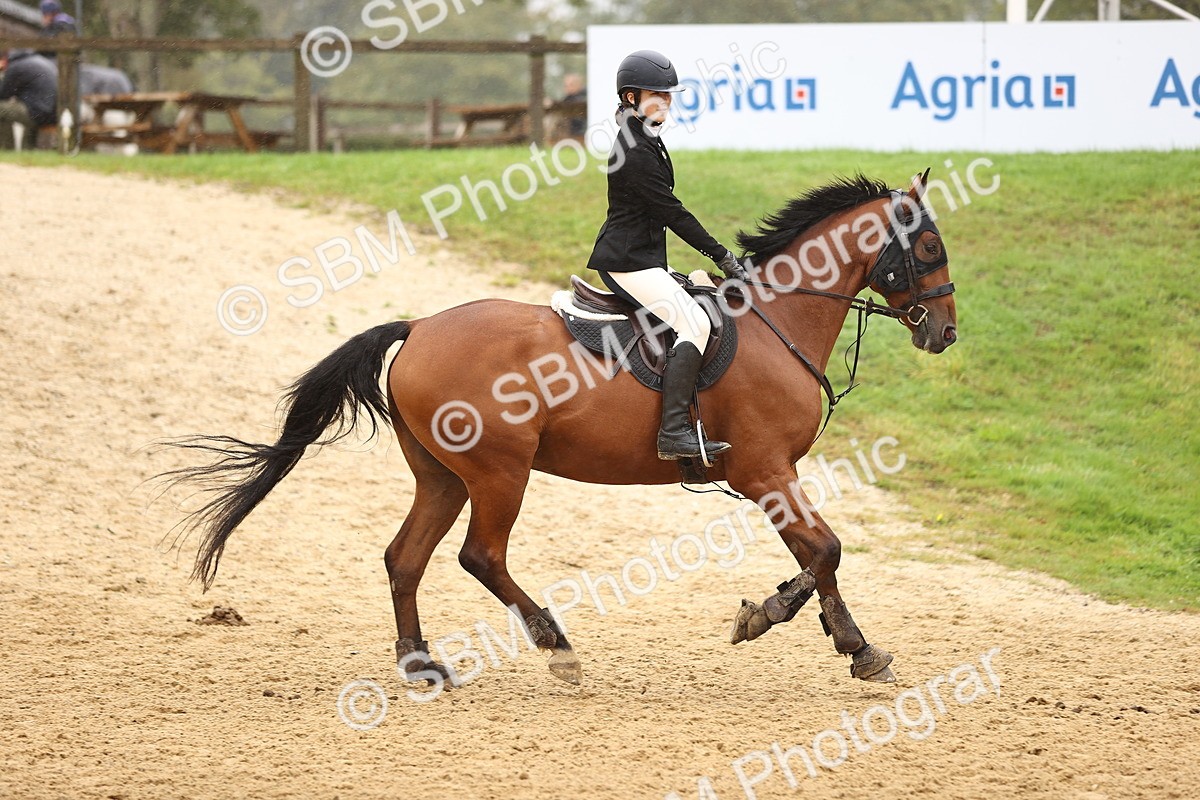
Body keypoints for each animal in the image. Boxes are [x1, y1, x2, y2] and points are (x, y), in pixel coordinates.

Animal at [160, 169, 957, 688]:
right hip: (498, 472)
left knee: (404, 558)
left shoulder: (768, 474)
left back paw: (421, 664)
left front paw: (837, 639)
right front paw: (785, 623)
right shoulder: (763, 469)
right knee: (479, 557)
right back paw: (557, 645)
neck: (776, 320)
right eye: (927, 249)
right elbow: (825, 551)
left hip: (443, 475)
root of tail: (419, 328)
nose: (945, 333)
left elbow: (820, 556)